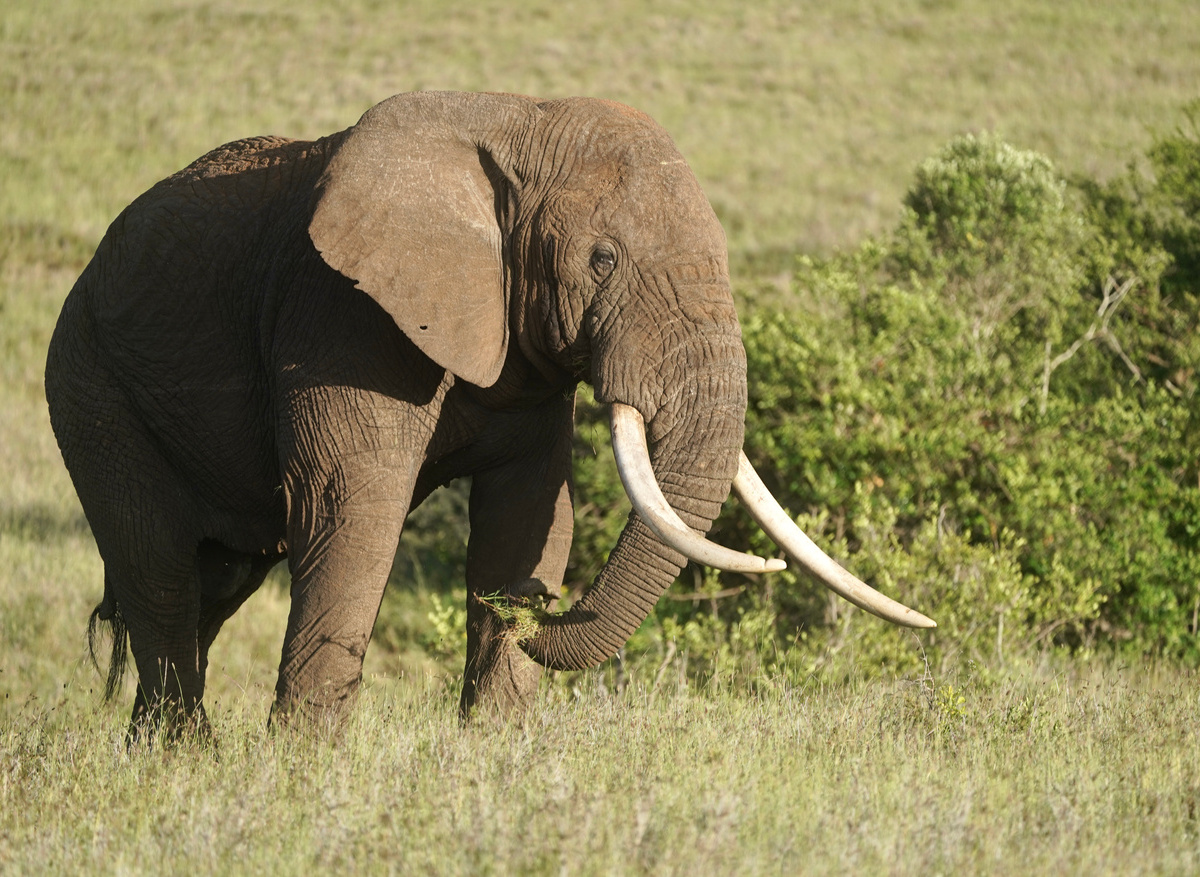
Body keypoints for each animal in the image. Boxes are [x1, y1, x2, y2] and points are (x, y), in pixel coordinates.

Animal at [45, 91, 933, 737]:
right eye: (601, 260)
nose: (532, 612)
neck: (517, 122)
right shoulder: (337, 316)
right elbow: (351, 509)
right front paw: (305, 764)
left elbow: (532, 511)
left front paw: (496, 740)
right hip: (89, 386)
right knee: (159, 572)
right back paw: (178, 755)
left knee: (217, 580)